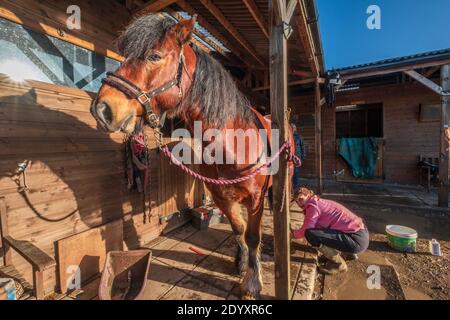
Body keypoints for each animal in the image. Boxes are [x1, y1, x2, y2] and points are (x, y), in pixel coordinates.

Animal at [90, 14, 298, 300]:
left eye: (154, 56)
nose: (102, 109)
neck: (234, 145)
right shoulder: (220, 196)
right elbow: (238, 229)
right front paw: (242, 262)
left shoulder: (255, 199)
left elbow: (253, 235)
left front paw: (252, 283)